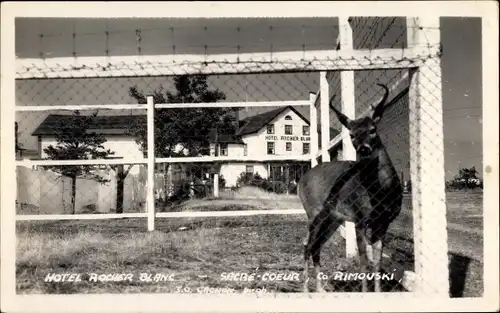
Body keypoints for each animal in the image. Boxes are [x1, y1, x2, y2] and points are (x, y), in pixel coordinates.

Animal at [298, 83, 404, 292]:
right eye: (352, 135)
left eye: (373, 129)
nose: (363, 149)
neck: (381, 192)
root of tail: (300, 180)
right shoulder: (359, 218)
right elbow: (364, 262)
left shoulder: (384, 221)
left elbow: (377, 262)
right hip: (313, 211)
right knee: (307, 244)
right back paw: (306, 289)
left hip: (333, 218)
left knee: (316, 246)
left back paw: (321, 289)